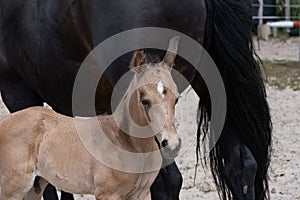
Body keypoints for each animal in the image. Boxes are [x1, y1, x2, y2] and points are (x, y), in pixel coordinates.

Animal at [0, 37, 180, 198]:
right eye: (144, 100)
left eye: (176, 98)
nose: (171, 144)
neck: (127, 143)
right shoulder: (108, 194)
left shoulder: (142, 193)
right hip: (12, 189)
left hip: (35, 187)